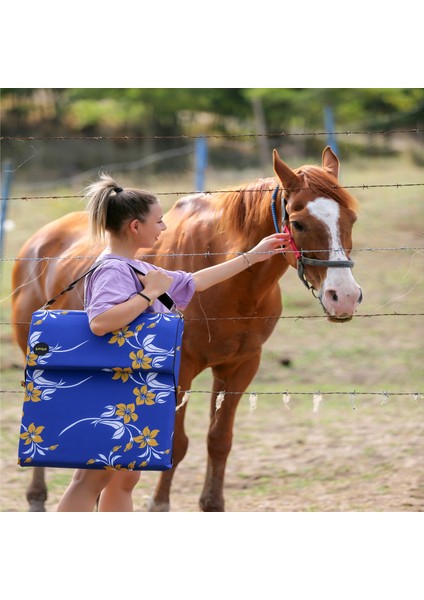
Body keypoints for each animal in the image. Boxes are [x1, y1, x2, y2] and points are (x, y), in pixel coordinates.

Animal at [10, 145, 362, 510]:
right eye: (298, 223)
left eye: (351, 219)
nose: (345, 297)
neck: (232, 285)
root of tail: (39, 242)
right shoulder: (182, 373)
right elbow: (176, 444)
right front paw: (159, 504)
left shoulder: (240, 367)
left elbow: (219, 440)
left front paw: (212, 503)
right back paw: (37, 496)